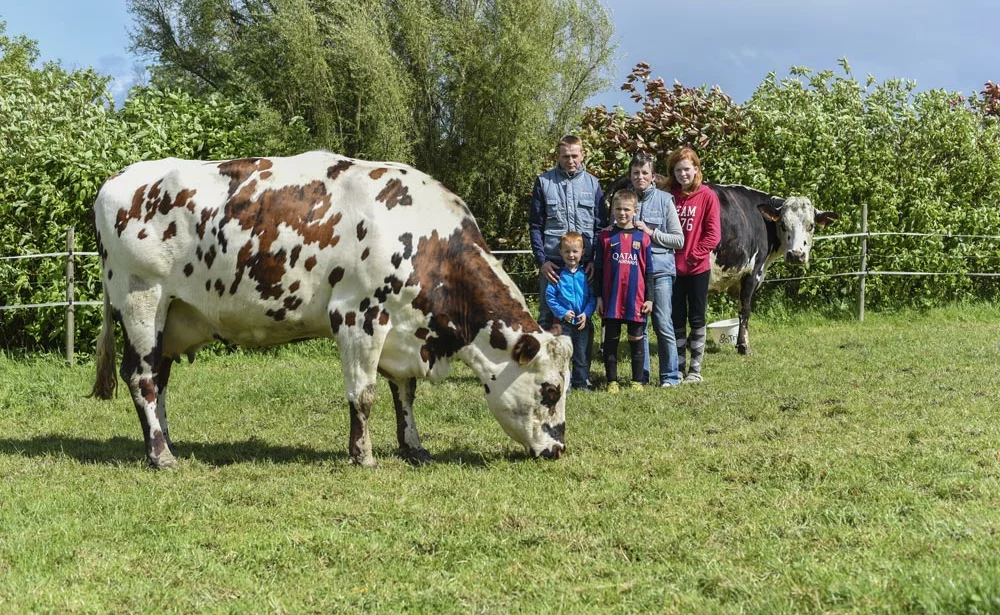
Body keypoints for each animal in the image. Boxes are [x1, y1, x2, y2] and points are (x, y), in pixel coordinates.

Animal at [90, 152, 576, 470]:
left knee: (159, 379)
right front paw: (363, 455)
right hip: (142, 300)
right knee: (142, 379)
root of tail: (117, 178)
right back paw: (161, 456)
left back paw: (167, 441)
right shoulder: (359, 317)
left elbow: (405, 393)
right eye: (550, 391)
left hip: (174, 316)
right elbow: (364, 395)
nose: (558, 450)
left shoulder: (402, 331)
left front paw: (414, 447)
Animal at [600, 173, 836, 356]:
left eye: (811, 225)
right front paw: (743, 346)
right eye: (784, 224)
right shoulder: (752, 272)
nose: (796, 254)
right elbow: (744, 310)